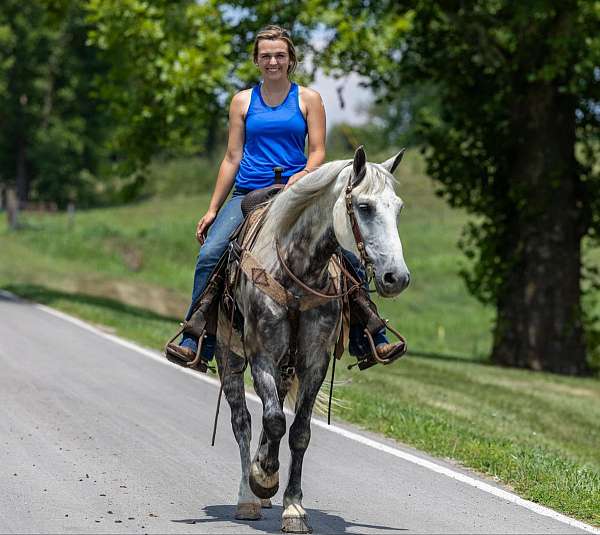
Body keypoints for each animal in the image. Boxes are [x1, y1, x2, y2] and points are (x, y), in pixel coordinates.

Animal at [214, 146, 408, 532]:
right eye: (364, 206)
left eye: (398, 208)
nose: (398, 277)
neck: (297, 270)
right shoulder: (261, 355)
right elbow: (274, 420)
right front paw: (263, 478)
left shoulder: (314, 361)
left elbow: (299, 431)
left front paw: (293, 507)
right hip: (231, 358)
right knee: (242, 421)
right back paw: (248, 497)